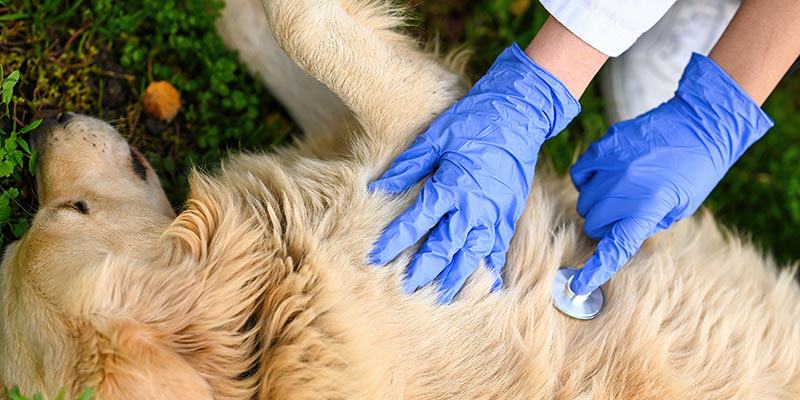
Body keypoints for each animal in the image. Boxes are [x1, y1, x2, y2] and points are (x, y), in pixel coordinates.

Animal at [1, 0, 800, 398]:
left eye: (67, 211)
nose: (43, 125)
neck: (271, 309)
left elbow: (294, 32)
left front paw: (238, 21)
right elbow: (307, 31)